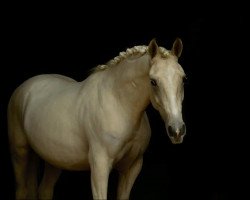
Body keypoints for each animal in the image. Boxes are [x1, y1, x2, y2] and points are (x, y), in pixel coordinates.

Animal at [7, 38, 186, 199]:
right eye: (153, 81)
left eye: (183, 78)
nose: (177, 130)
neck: (119, 103)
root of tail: (25, 88)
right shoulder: (100, 167)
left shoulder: (132, 167)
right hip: (20, 153)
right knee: (22, 190)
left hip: (53, 159)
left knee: (44, 191)